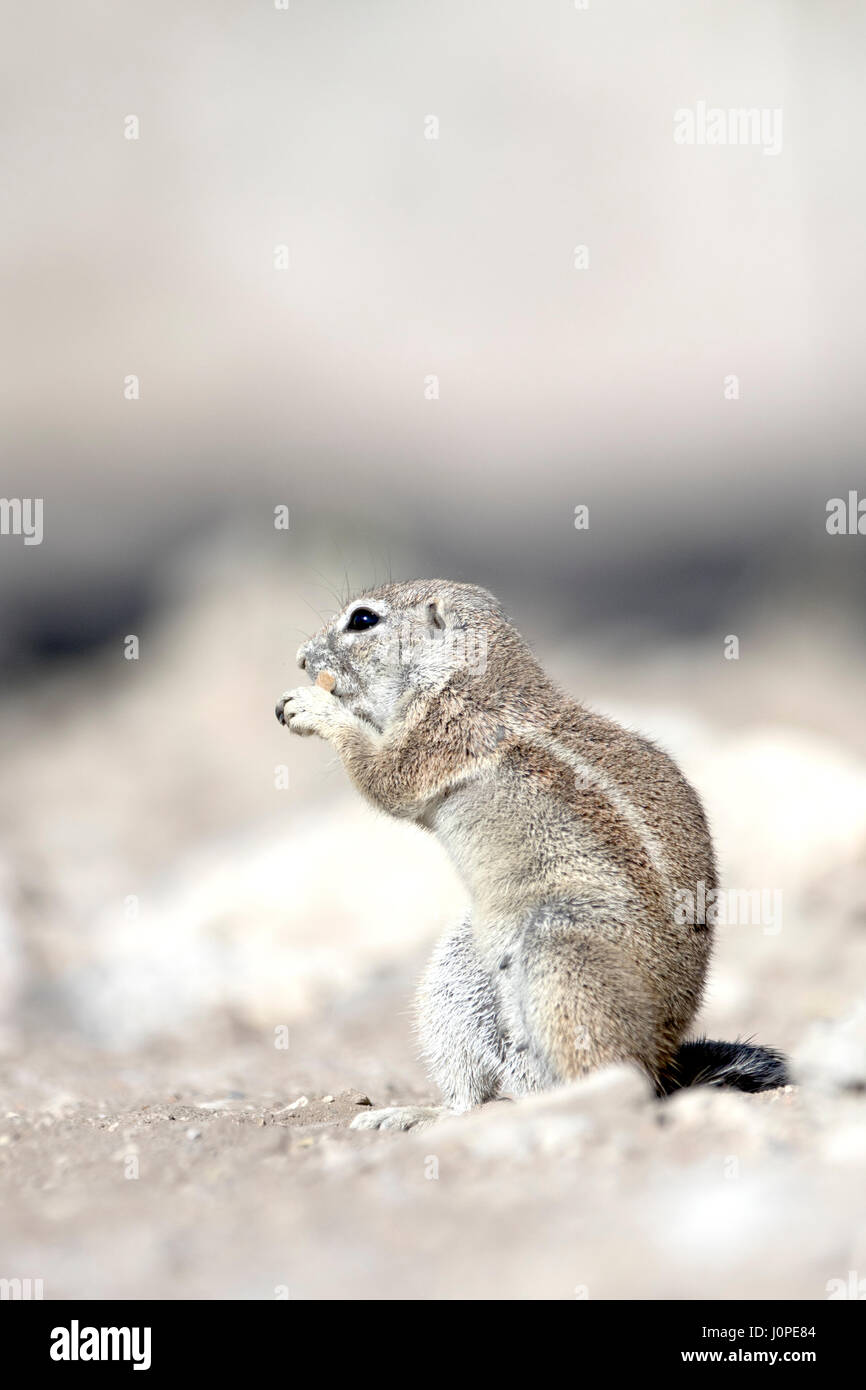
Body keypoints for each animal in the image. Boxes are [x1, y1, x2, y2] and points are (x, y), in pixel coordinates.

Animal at [273, 575, 789, 1128]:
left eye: (363, 620)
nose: (301, 657)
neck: (465, 676)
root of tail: (664, 1063)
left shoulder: (442, 735)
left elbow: (382, 777)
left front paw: (312, 707)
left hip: (563, 948)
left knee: (609, 1077)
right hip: (458, 972)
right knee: (478, 1089)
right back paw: (420, 1114)